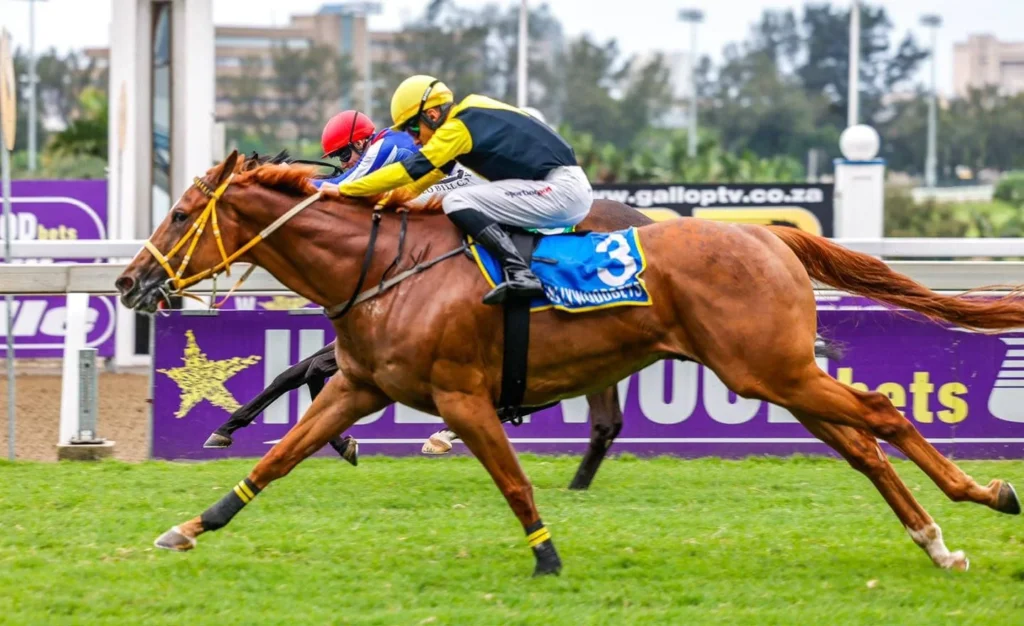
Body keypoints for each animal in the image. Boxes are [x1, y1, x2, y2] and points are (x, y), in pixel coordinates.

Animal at [117, 151, 1023, 576]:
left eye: (183, 211)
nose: (129, 282)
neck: (384, 267)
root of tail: (771, 235)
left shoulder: (461, 395)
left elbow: (513, 481)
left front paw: (547, 555)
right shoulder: (359, 386)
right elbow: (278, 457)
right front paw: (190, 526)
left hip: (771, 371)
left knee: (882, 414)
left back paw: (984, 496)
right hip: (777, 374)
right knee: (863, 443)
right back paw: (936, 540)